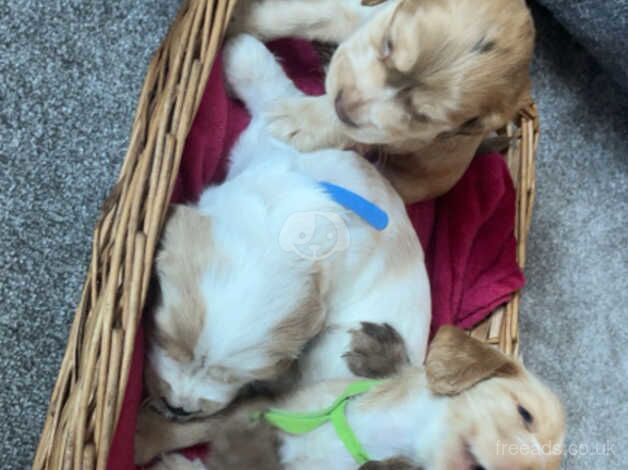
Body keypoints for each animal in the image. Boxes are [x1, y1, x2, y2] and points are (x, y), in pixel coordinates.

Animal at [145, 34, 432, 422]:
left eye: (241, 377)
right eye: (163, 338)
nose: (180, 408)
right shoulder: (273, 144)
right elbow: (278, 98)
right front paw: (238, 48)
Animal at [231, 0, 536, 202]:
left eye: (422, 116)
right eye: (388, 43)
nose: (342, 103)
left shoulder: (398, 134)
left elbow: (348, 126)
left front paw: (301, 119)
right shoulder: (368, 17)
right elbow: (316, 14)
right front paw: (242, 19)